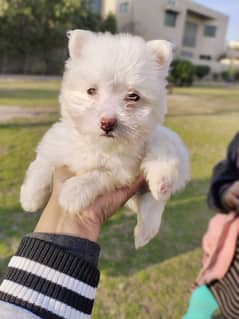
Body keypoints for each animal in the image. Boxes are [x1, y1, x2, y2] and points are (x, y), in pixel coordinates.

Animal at [21, 30, 191, 249]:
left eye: (133, 96)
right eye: (91, 91)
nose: (107, 123)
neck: (98, 145)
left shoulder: (123, 170)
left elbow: (98, 175)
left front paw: (73, 193)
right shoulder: (57, 143)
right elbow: (42, 165)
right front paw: (30, 197)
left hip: (162, 142)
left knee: (158, 191)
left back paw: (161, 186)